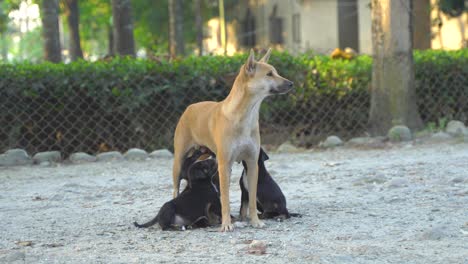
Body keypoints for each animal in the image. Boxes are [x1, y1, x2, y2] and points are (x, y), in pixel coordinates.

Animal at [171, 49, 292, 231]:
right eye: (269, 74)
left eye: (275, 72)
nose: (291, 83)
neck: (245, 115)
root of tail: (190, 107)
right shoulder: (224, 165)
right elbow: (226, 199)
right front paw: (226, 224)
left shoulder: (252, 163)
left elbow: (252, 198)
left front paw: (255, 220)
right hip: (179, 162)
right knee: (176, 188)